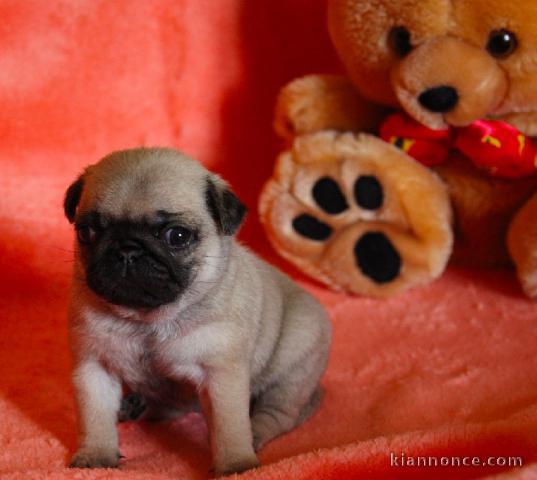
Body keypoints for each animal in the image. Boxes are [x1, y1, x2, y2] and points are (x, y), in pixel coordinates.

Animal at [62, 147, 330, 476]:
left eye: (177, 236)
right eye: (87, 232)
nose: (127, 250)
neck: (147, 320)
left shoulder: (221, 374)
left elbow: (230, 426)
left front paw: (235, 464)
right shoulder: (94, 367)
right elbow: (95, 417)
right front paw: (96, 456)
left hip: (292, 368)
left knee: (277, 414)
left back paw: (255, 435)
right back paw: (136, 406)